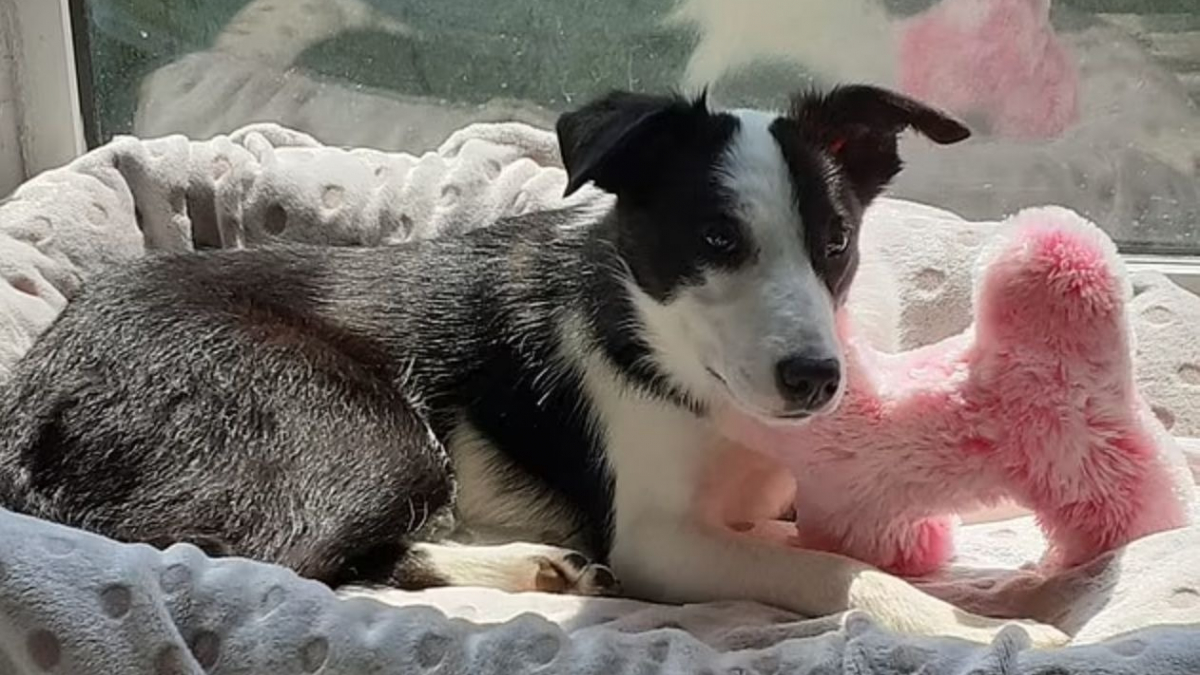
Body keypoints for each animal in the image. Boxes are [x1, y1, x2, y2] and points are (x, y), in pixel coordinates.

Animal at [0, 86, 1070, 643]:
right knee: (264, 557)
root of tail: (29, 389)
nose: (818, 379)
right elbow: (831, 569)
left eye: (836, 241)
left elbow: (825, 534)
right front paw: (967, 624)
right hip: (363, 430)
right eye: (715, 239)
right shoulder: (659, 541)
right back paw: (520, 563)